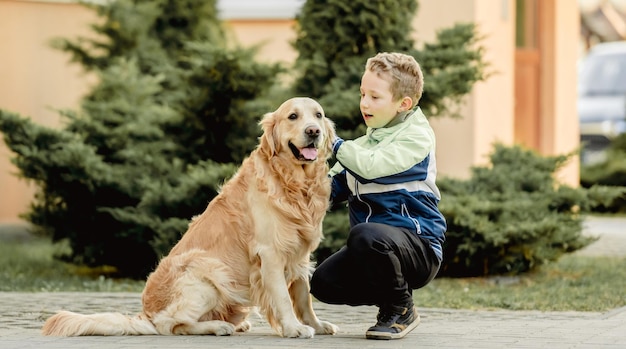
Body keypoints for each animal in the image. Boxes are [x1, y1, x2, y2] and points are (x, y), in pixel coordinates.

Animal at [40, 96, 336, 336]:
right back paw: (218, 326)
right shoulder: (270, 252)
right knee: (171, 324)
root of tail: (146, 314)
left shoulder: (299, 252)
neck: (294, 183)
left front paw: (316, 325)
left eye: (318, 115)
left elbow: (303, 296)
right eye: (293, 116)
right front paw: (295, 328)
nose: (313, 131)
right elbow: (284, 298)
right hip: (207, 272)